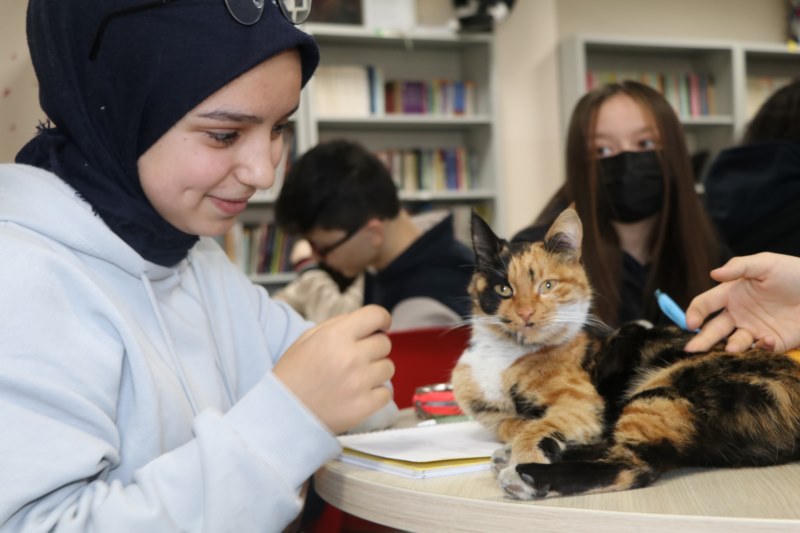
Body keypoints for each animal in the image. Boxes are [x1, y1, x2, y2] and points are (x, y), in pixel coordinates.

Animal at [450, 207, 800, 498]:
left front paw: (525, 454)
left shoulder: (581, 404)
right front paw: (519, 444)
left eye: (546, 286)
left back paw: (526, 476)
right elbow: (517, 425)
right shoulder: (496, 416)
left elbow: (534, 427)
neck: (505, 354)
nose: (525, 314)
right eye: (503, 289)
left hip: (661, 393)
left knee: (634, 466)